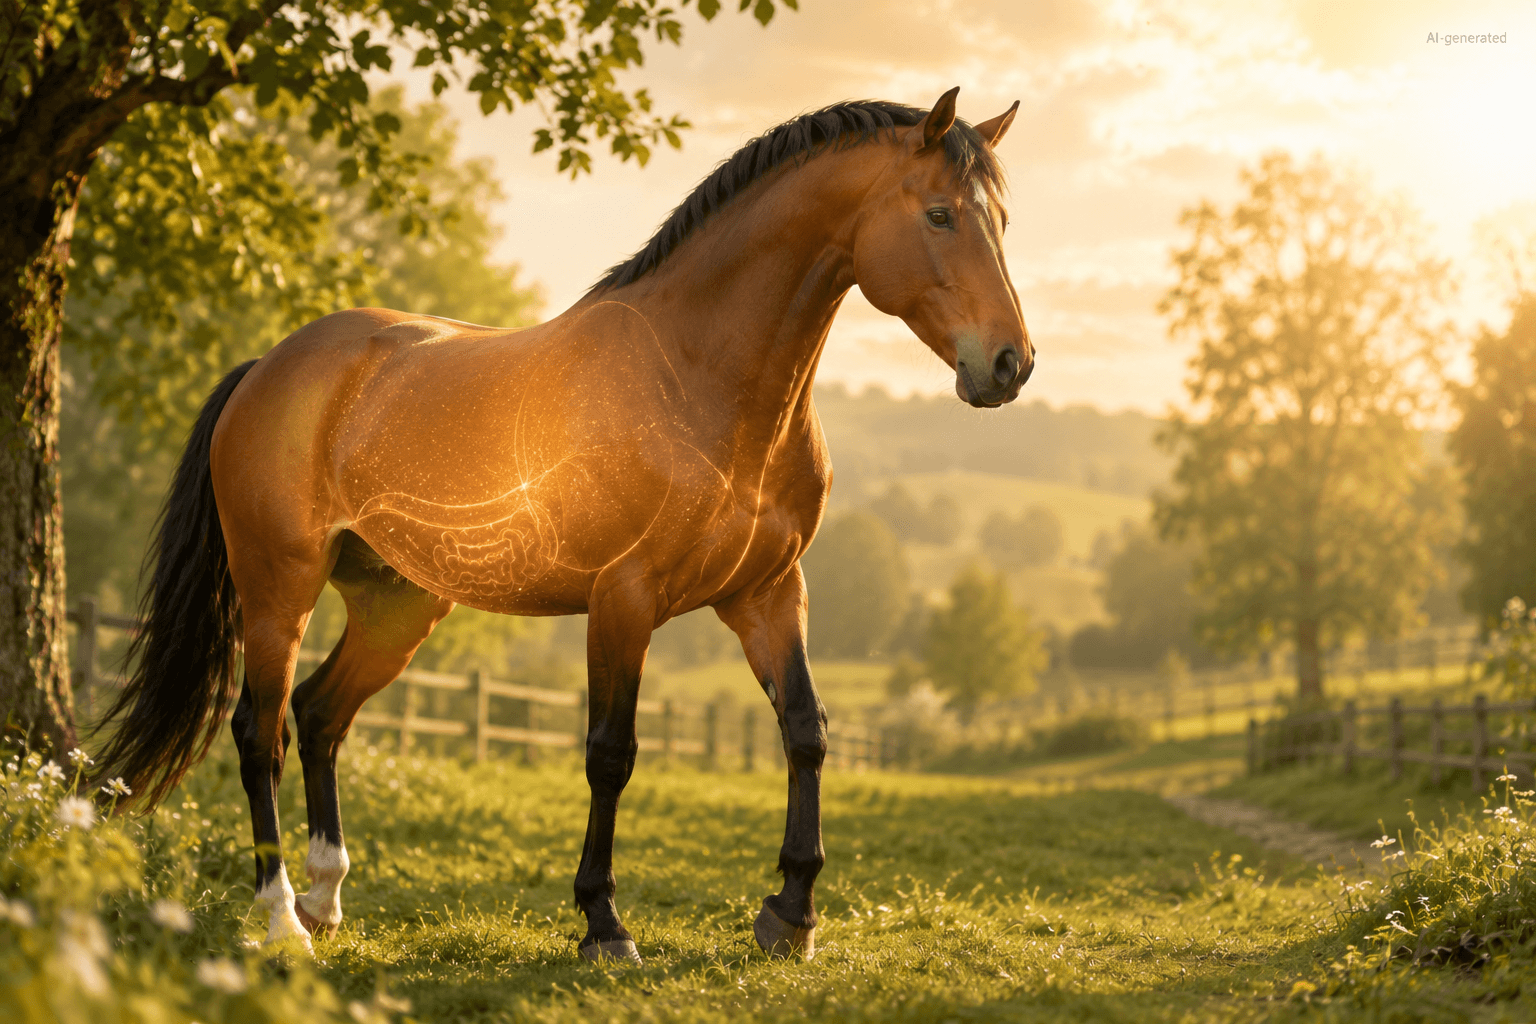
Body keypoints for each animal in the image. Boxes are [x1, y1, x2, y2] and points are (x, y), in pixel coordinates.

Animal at [94, 87, 1031, 963]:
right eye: (939, 213)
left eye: (1002, 220)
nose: (1009, 365)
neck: (697, 378)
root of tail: (271, 366)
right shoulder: (624, 598)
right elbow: (610, 753)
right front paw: (603, 924)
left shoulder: (769, 594)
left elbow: (806, 733)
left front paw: (789, 916)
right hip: (276, 589)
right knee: (261, 732)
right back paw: (282, 918)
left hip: (396, 604)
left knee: (322, 715)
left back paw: (327, 900)